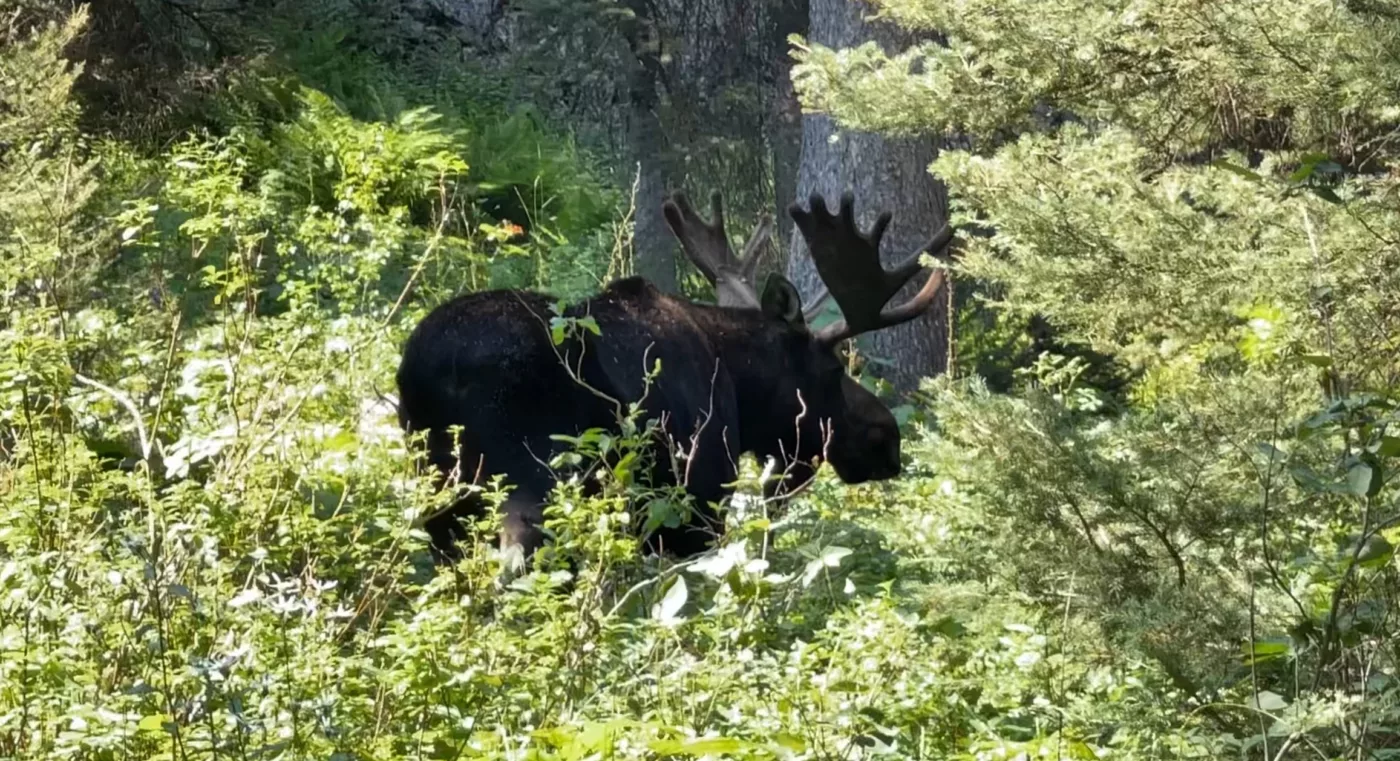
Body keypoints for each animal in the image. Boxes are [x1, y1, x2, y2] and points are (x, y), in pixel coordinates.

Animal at [400, 191, 957, 565]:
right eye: (833, 369)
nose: (887, 438)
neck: (737, 385)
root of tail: (428, 370)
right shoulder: (697, 498)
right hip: (531, 482)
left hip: (439, 499)